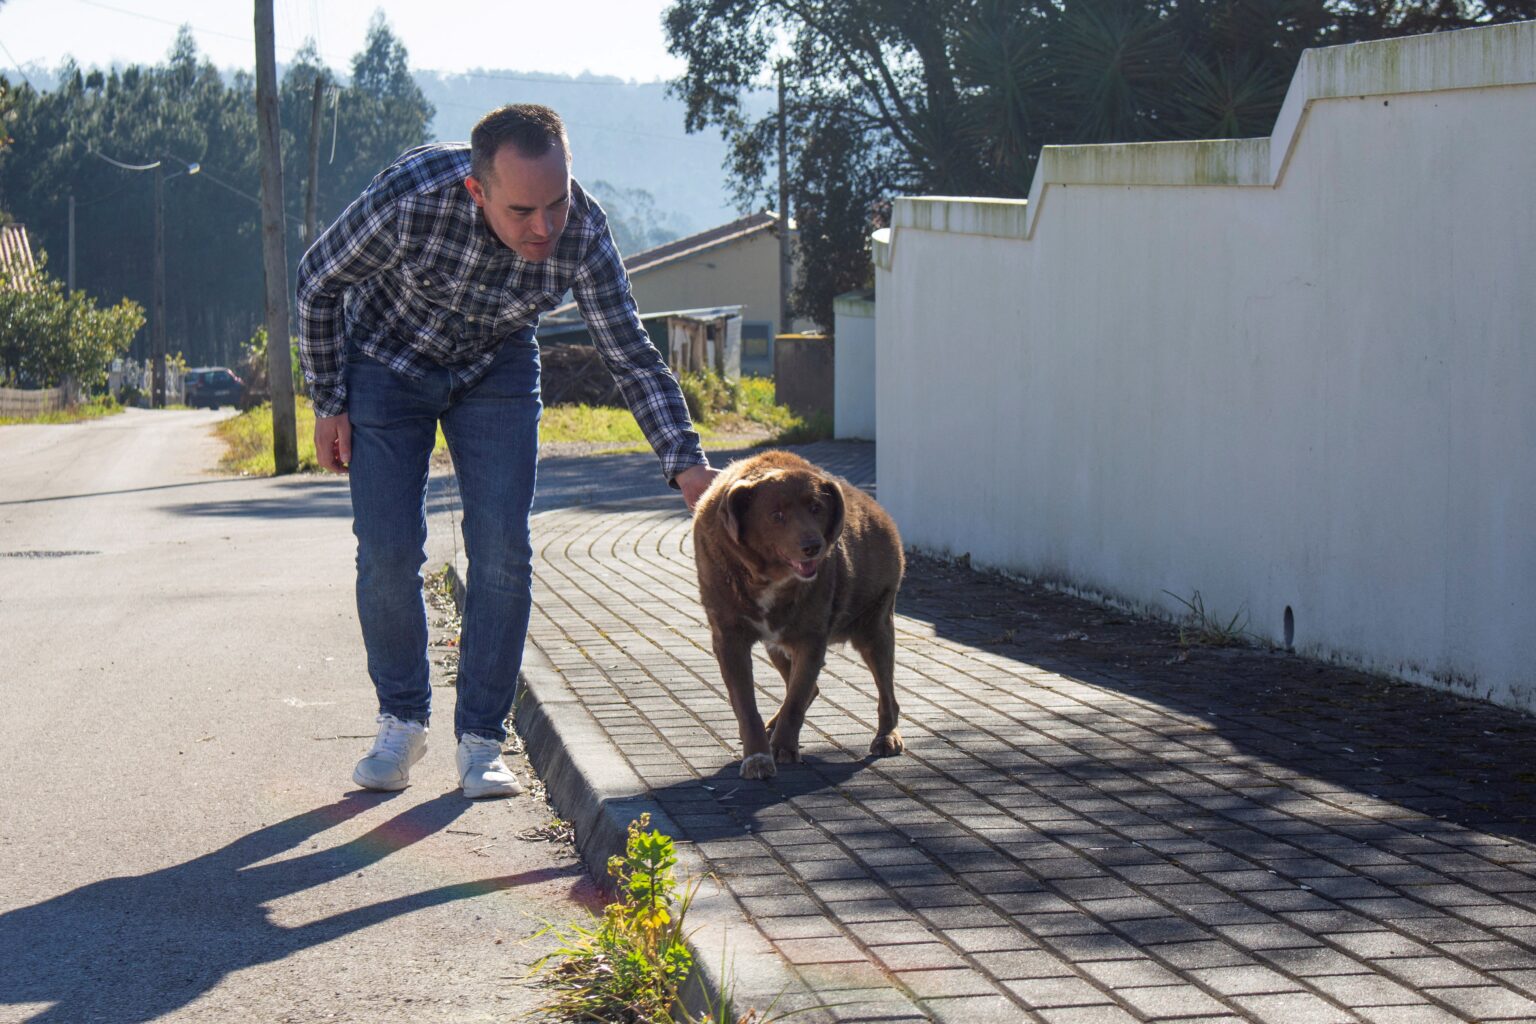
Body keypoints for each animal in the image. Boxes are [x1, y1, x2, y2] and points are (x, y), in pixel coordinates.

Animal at [694, 448, 903, 776]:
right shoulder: (728, 638)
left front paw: (783, 747)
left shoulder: (810, 639)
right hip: (778, 646)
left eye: (816, 508)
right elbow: (745, 704)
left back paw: (887, 737)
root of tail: (881, 513)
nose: (813, 546)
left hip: (875, 628)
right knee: (811, 688)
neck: (767, 578)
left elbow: (795, 699)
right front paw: (758, 756)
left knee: (885, 693)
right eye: (776, 515)